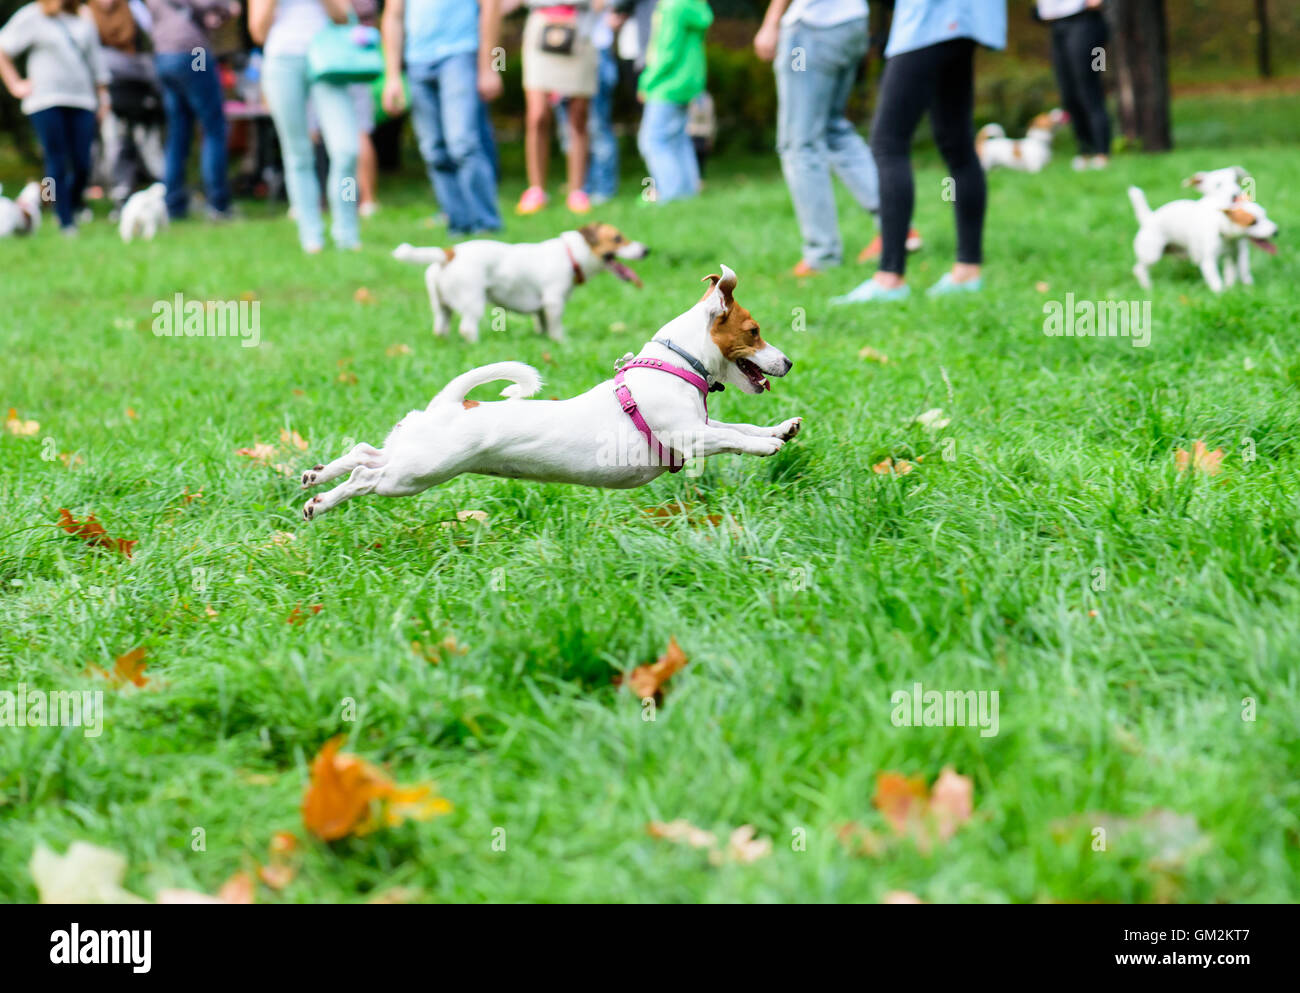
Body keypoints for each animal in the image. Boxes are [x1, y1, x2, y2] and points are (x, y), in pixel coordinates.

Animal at [300, 267, 800, 522]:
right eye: (754, 332)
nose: (789, 362)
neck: (674, 366)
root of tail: (451, 403)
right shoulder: (688, 435)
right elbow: (734, 437)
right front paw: (766, 446)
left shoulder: (701, 424)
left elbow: (740, 425)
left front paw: (780, 429)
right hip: (415, 474)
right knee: (366, 476)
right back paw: (321, 501)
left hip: (415, 456)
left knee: (365, 451)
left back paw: (316, 476)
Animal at [387, 219, 647, 340]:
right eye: (617, 238)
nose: (646, 250)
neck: (570, 254)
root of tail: (449, 253)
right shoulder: (553, 301)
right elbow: (555, 327)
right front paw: (560, 341)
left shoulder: (542, 307)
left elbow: (542, 324)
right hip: (473, 302)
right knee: (467, 328)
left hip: (441, 306)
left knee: (441, 327)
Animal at [1128, 185, 1279, 292]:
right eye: (1253, 222)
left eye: (1265, 215)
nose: (1275, 231)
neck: (1224, 234)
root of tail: (1149, 218)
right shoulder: (1208, 262)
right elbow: (1216, 282)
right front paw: (1221, 294)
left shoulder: (1233, 256)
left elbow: (1231, 275)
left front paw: (1232, 289)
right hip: (1151, 254)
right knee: (1138, 269)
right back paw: (1147, 287)